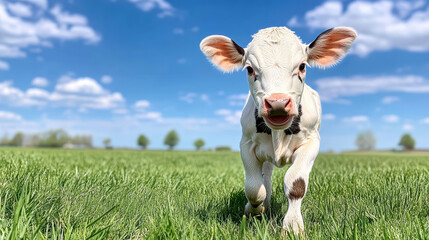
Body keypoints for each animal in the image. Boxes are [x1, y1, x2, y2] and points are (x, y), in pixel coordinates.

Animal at [199, 26, 356, 234]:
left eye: (302, 66)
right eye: (249, 69)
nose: (277, 103)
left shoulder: (311, 142)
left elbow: (296, 183)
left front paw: (293, 226)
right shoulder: (246, 144)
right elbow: (254, 188)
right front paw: (254, 210)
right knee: (265, 178)